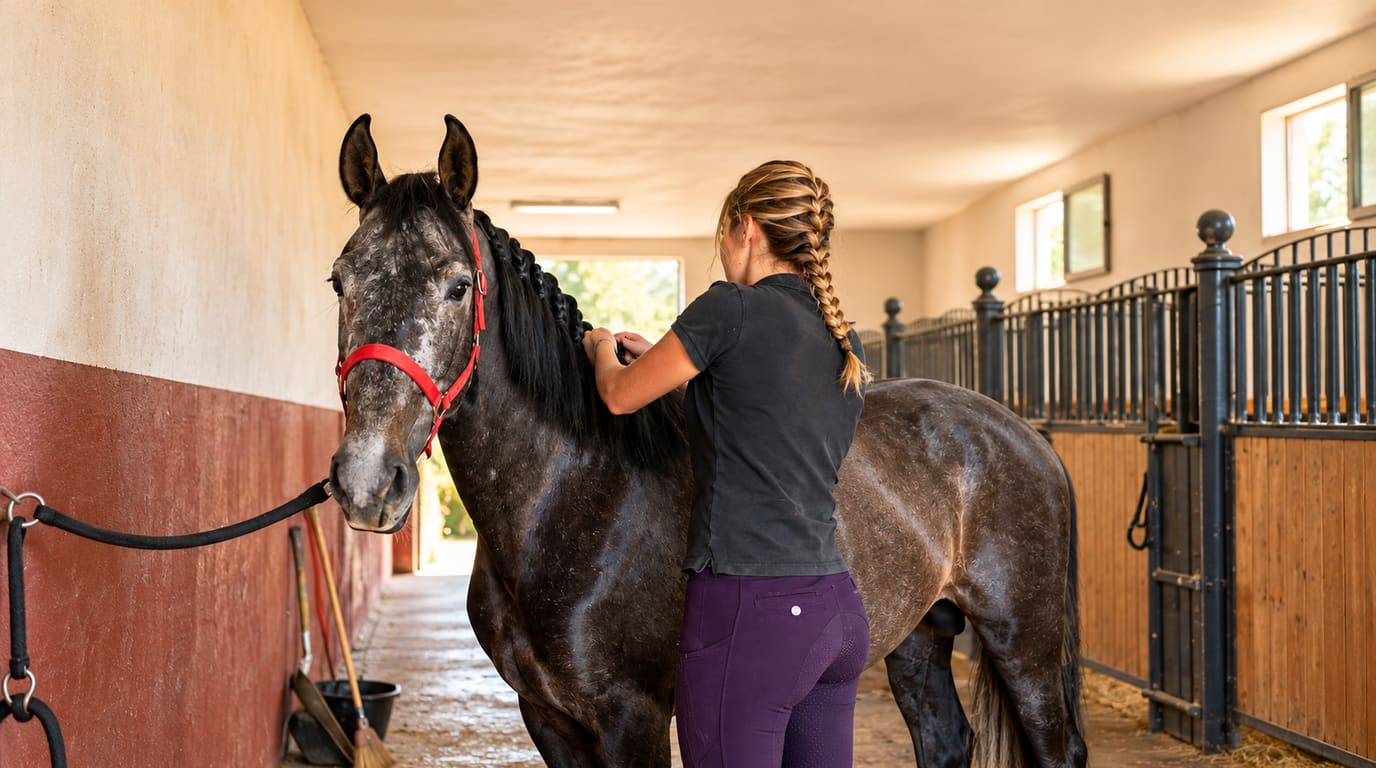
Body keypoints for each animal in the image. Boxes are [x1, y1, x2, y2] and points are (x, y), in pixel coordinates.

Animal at [325, 113, 1087, 768]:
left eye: (458, 287)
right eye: (338, 281)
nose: (367, 482)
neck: (572, 500)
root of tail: (1026, 434)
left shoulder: (632, 717)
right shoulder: (546, 717)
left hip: (1026, 648)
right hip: (920, 637)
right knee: (946, 740)